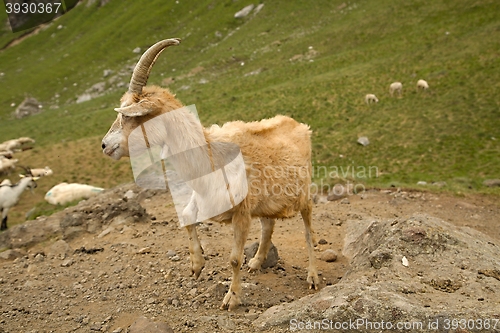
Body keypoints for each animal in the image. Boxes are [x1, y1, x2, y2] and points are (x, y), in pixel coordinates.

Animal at [101, 38, 318, 308]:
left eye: (126, 114)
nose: (104, 145)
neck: (211, 154)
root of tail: (300, 125)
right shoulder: (205, 197)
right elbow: (186, 216)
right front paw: (197, 265)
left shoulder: (241, 213)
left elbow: (234, 258)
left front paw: (231, 298)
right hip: (266, 202)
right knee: (268, 225)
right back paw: (257, 261)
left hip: (304, 196)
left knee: (308, 233)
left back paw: (312, 277)